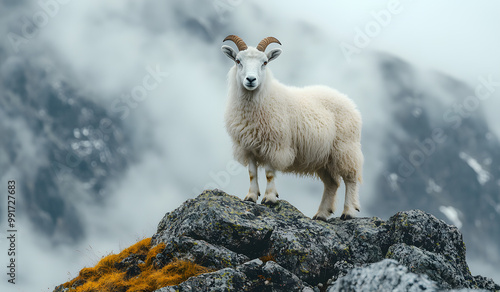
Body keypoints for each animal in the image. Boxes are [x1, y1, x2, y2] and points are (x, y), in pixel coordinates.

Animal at [221, 35, 362, 220]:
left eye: (265, 62)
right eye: (238, 61)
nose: (251, 80)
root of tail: (349, 102)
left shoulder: (275, 145)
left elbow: (269, 174)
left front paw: (269, 198)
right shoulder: (248, 146)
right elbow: (252, 173)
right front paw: (251, 197)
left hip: (346, 149)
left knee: (351, 179)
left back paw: (349, 211)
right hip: (324, 158)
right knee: (332, 184)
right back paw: (321, 214)